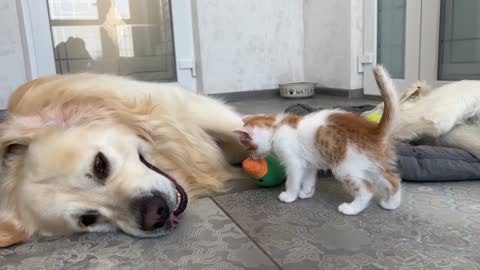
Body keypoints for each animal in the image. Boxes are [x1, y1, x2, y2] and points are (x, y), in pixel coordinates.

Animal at [234, 66, 400, 216]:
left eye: (248, 148)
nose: (251, 158)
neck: (276, 128)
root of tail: (373, 130)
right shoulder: (308, 162)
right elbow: (308, 178)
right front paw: (306, 193)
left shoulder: (294, 163)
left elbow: (292, 180)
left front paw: (289, 196)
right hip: (372, 165)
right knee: (392, 179)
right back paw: (391, 203)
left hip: (346, 167)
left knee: (367, 189)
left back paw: (351, 209)